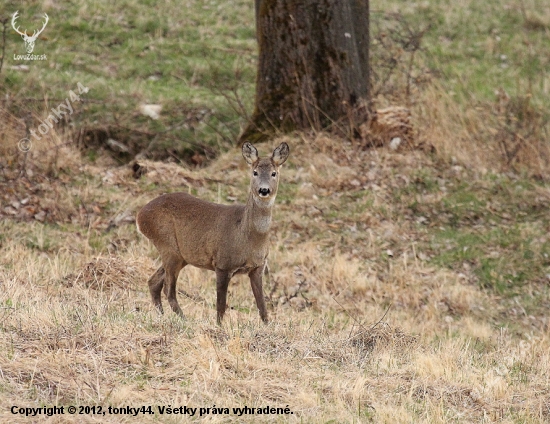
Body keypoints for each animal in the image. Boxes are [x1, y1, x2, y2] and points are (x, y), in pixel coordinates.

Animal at [136, 142, 292, 324]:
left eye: (274, 173)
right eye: (255, 172)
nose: (264, 190)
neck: (247, 236)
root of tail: (140, 215)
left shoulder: (258, 267)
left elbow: (262, 307)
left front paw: (267, 326)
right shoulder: (222, 263)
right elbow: (221, 306)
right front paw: (219, 326)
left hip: (181, 255)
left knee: (154, 282)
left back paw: (163, 316)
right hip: (167, 245)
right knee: (169, 289)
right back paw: (185, 320)